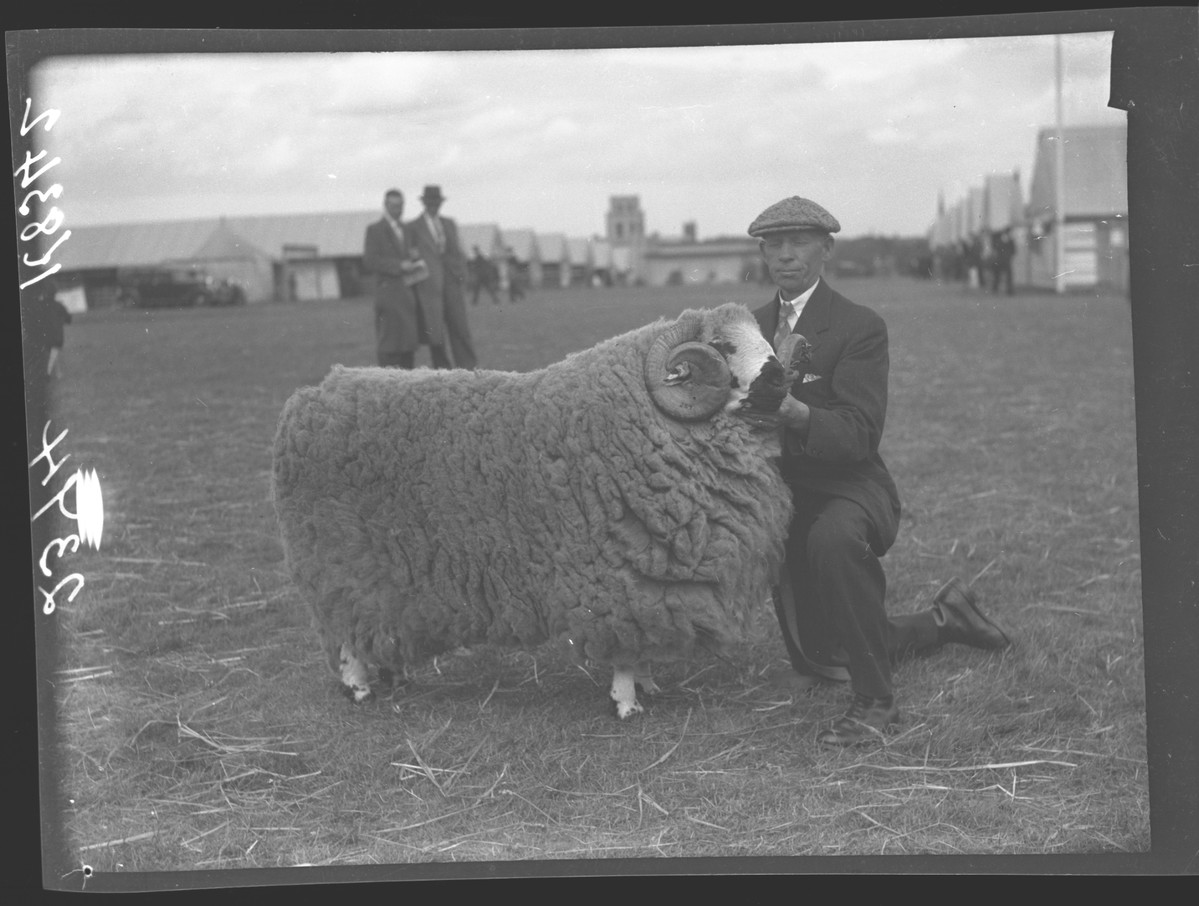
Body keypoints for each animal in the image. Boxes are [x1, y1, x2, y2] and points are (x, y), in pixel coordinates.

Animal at [272, 302, 806, 718]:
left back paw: (393, 674)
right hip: (338, 564)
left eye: (763, 337)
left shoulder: (653, 586)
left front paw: (648, 682)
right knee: (344, 633)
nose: (780, 377)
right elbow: (623, 649)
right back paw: (359, 688)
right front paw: (626, 701)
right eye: (723, 345)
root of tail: (311, 397)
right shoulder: (618, 578)